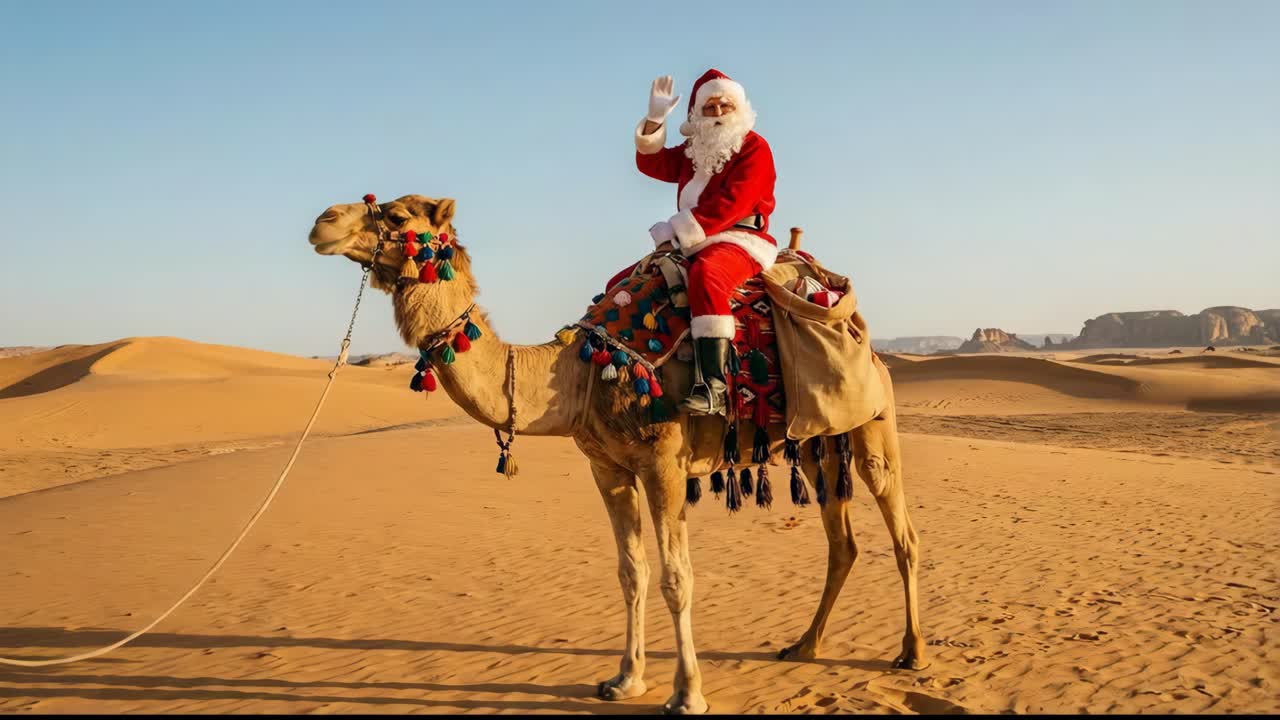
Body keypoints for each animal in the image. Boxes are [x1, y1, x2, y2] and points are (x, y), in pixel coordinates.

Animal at [307, 194, 926, 714]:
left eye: (397, 215)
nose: (323, 221)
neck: (578, 374)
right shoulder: (608, 468)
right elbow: (632, 571)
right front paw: (625, 679)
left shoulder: (663, 464)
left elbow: (677, 576)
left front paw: (687, 694)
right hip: (817, 444)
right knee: (842, 543)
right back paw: (803, 646)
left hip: (873, 424)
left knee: (903, 534)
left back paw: (911, 652)